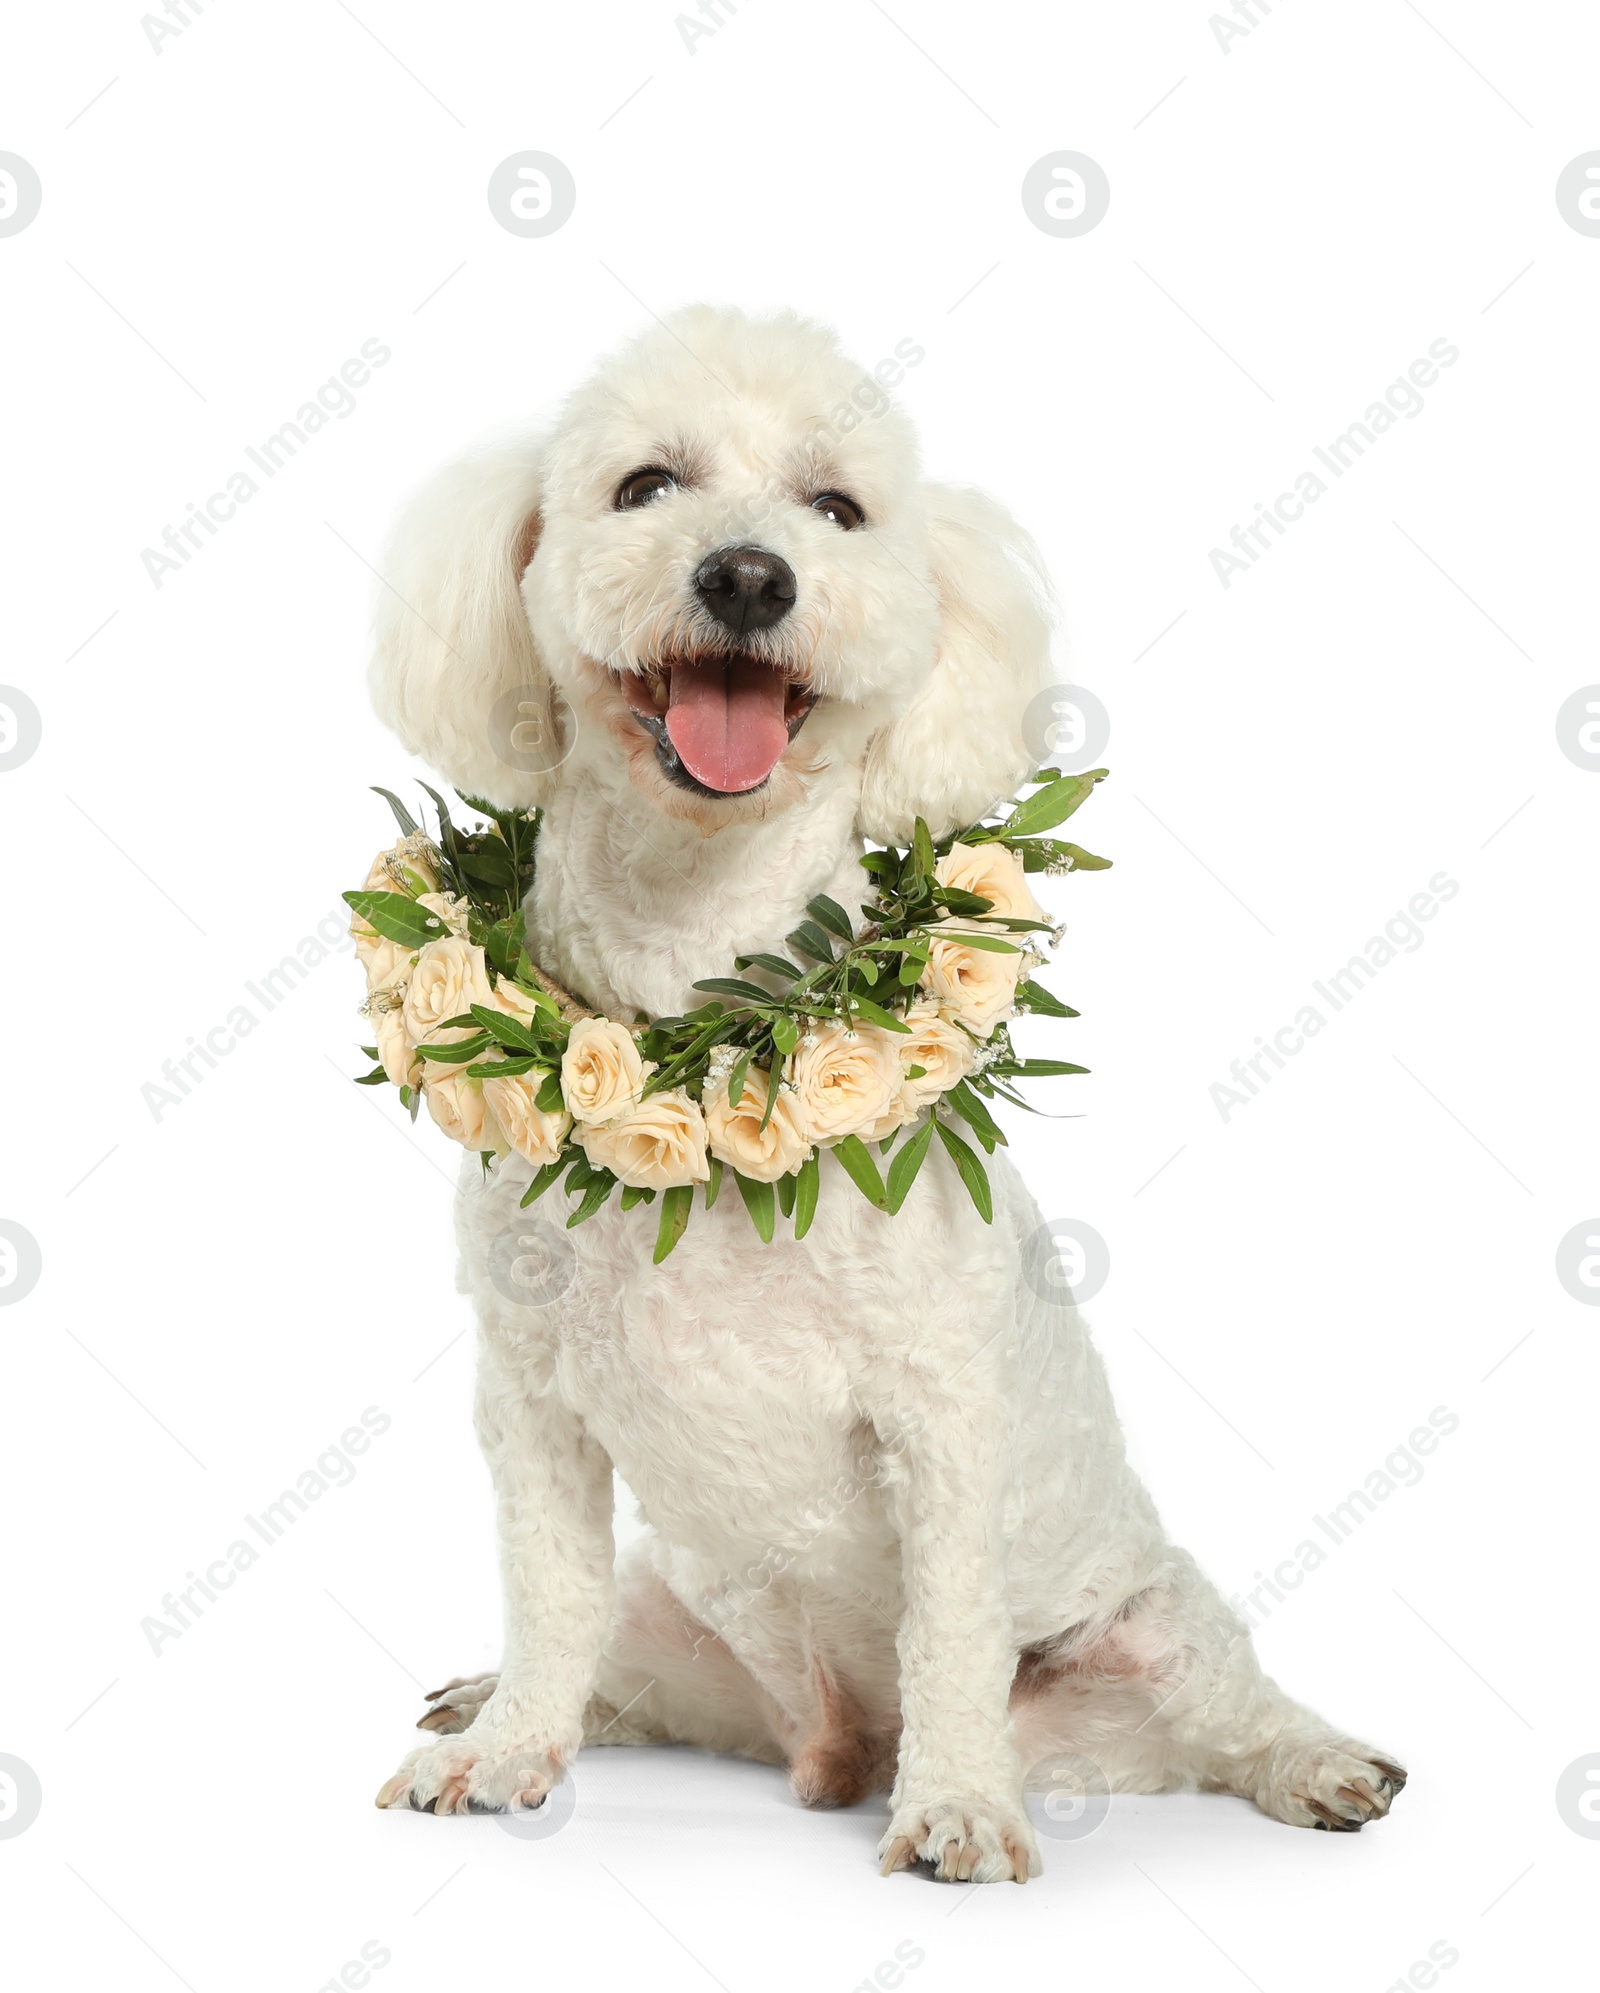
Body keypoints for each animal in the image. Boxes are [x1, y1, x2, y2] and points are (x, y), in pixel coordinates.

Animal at [368, 306, 1410, 1881]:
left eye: (837, 509)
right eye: (644, 485)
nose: (749, 575)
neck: (702, 1000)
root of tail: (830, 1741)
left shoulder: (942, 1421)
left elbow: (951, 1626)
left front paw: (961, 1805)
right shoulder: (532, 1406)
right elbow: (549, 1594)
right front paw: (505, 1751)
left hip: (1154, 1630)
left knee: (1230, 1707)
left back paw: (1315, 1760)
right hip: (681, 1624)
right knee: (614, 1658)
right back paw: (508, 1703)